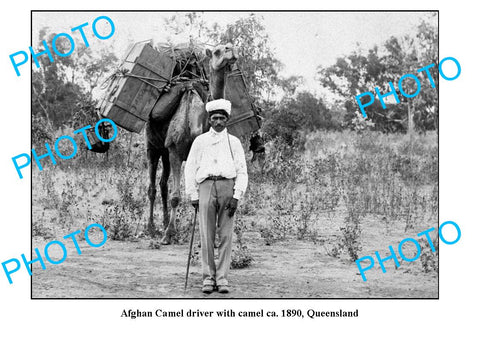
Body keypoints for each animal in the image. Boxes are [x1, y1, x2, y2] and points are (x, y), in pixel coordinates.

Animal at [143, 43, 239, 244]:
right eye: (217, 51)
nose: (230, 50)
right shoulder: (175, 151)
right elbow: (176, 196)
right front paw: (168, 235)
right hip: (153, 147)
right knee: (152, 187)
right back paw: (151, 228)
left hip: (165, 152)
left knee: (163, 185)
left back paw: (164, 222)